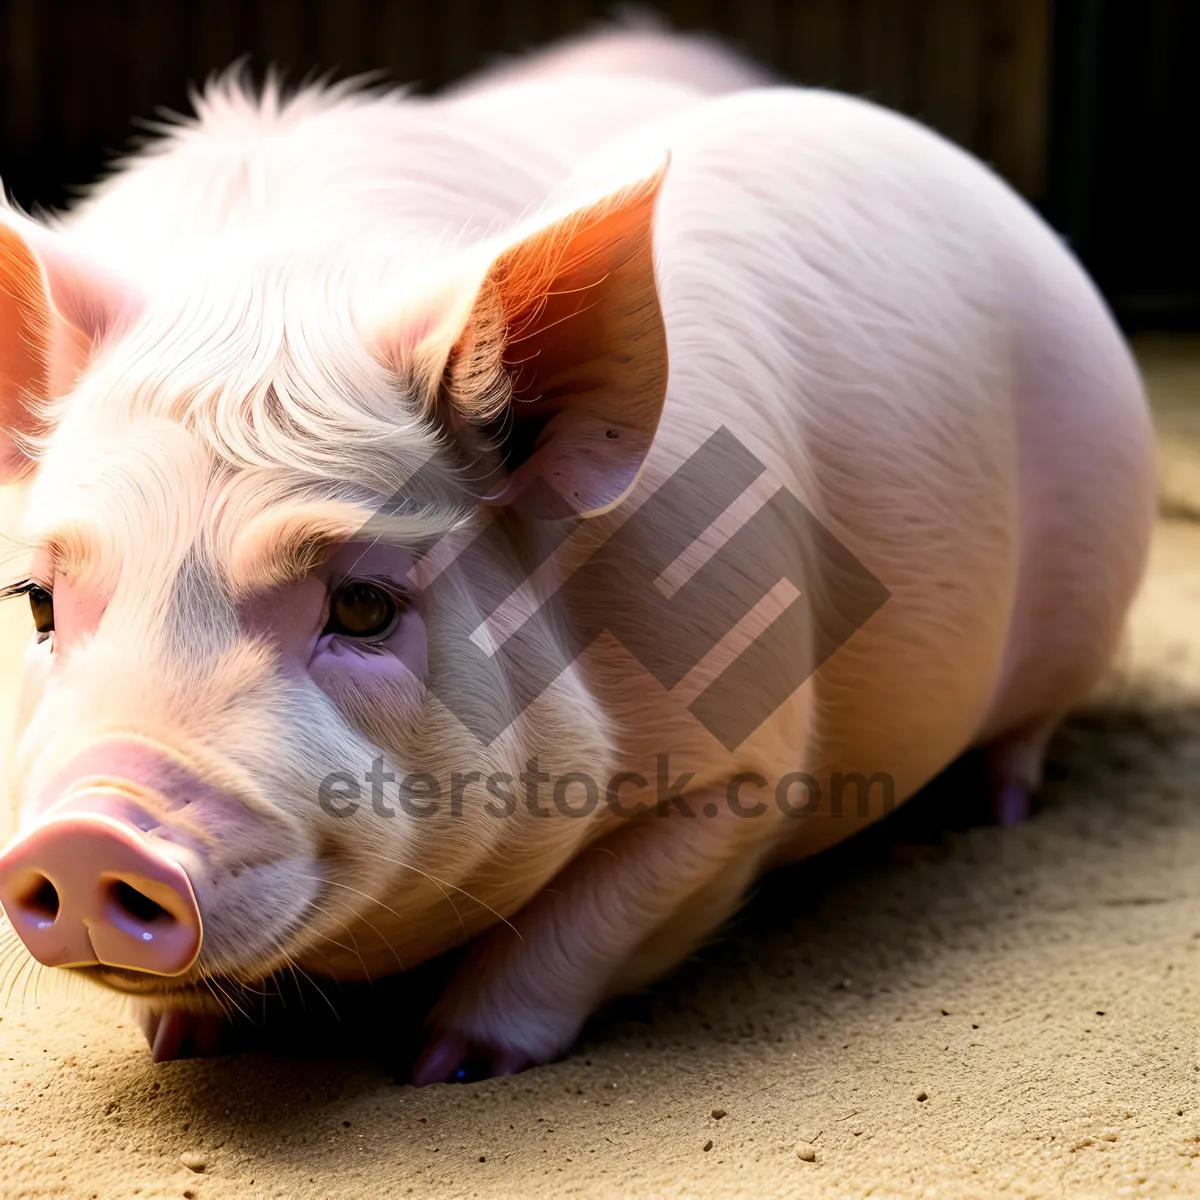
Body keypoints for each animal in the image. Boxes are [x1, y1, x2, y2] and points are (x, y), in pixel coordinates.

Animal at [2, 39, 1161, 1089]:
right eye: (41, 604)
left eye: (367, 606)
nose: (89, 835)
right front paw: (175, 1038)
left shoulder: (743, 772)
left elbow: (579, 928)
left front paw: (448, 1067)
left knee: (1028, 731)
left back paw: (993, 809)